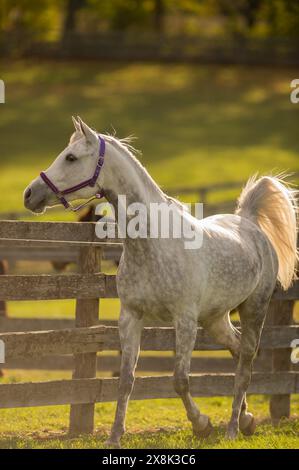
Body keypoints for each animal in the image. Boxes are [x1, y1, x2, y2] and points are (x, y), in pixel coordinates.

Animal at [24, 117, 298, 448]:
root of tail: (249, 222)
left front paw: (202, 425)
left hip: (253, 309)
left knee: (245, 362)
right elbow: (126, 380)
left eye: (71, 158)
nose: (29, 194)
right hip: (215, 319)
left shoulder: (184, 320)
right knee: (236, 350)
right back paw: (247, 419)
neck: (152, 242)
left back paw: (233, 428)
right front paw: (114, 438)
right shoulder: (131, 317)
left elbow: (180, 380)